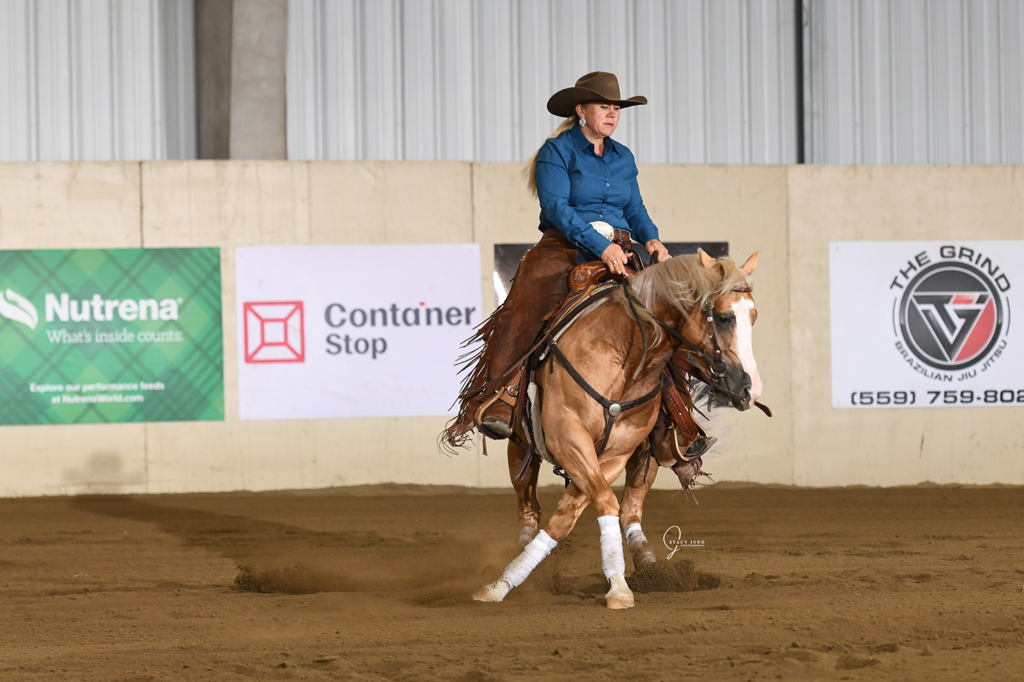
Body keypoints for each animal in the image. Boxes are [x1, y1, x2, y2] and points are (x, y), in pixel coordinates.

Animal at [473, 248, 761, 606]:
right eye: (723, 317)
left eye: (753, 316)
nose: (748, 389)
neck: (625, 354)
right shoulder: (568, 436)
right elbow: (594, 504)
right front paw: (502, 583)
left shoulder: (616, 452)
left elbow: (578, 510)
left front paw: (619, 583)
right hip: (521, 444)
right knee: (528, 505)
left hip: (648, 455)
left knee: (630, 510)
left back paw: (650, 565)